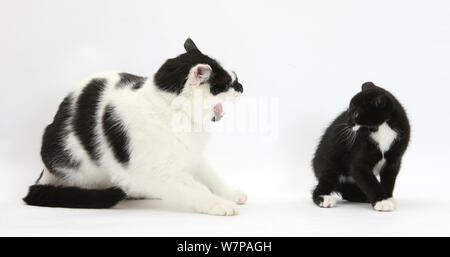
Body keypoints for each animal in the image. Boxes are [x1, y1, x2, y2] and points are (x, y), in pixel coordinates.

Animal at [23, 38, 248, 214]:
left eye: (235, 77)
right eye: (226, 84)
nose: (241, 87)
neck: (171, 112)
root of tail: (44, 172)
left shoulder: (192, 155)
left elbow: (212, 176)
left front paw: (230, 194)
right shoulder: (159, 171)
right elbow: (194, 190)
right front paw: (219, 204)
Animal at [312, 81, 410, 210]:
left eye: (356, 113)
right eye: (349, 111)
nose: (348, 123)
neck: (381, 128)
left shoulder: (394, 160)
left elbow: (389, 179)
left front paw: (387, 198)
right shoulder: (359, 162)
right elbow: (369, 181)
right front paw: (381, 201)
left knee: (347, 192)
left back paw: (363, 197)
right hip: (330, 162)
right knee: (324, 182)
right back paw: (324, 198)